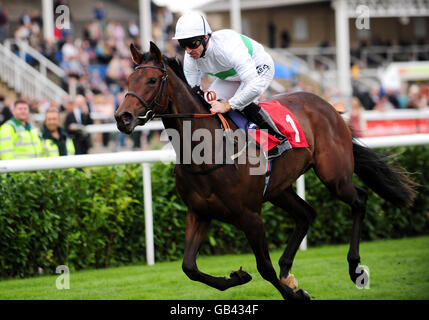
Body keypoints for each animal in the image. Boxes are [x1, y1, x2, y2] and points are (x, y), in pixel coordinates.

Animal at [115, 42, 416, 300]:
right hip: (278, 189)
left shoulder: (250, 216)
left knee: (359, 200)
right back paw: (288, 272)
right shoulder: (199, 212)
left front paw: (294, 295)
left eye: (152, 80)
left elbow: (264, 268)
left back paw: (354, 268)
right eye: (128, 81)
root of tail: (329, 106)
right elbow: (189, 267)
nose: (122, 118)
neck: (207, 151)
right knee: (307, 214)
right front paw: (239, 277)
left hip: (335, 176)